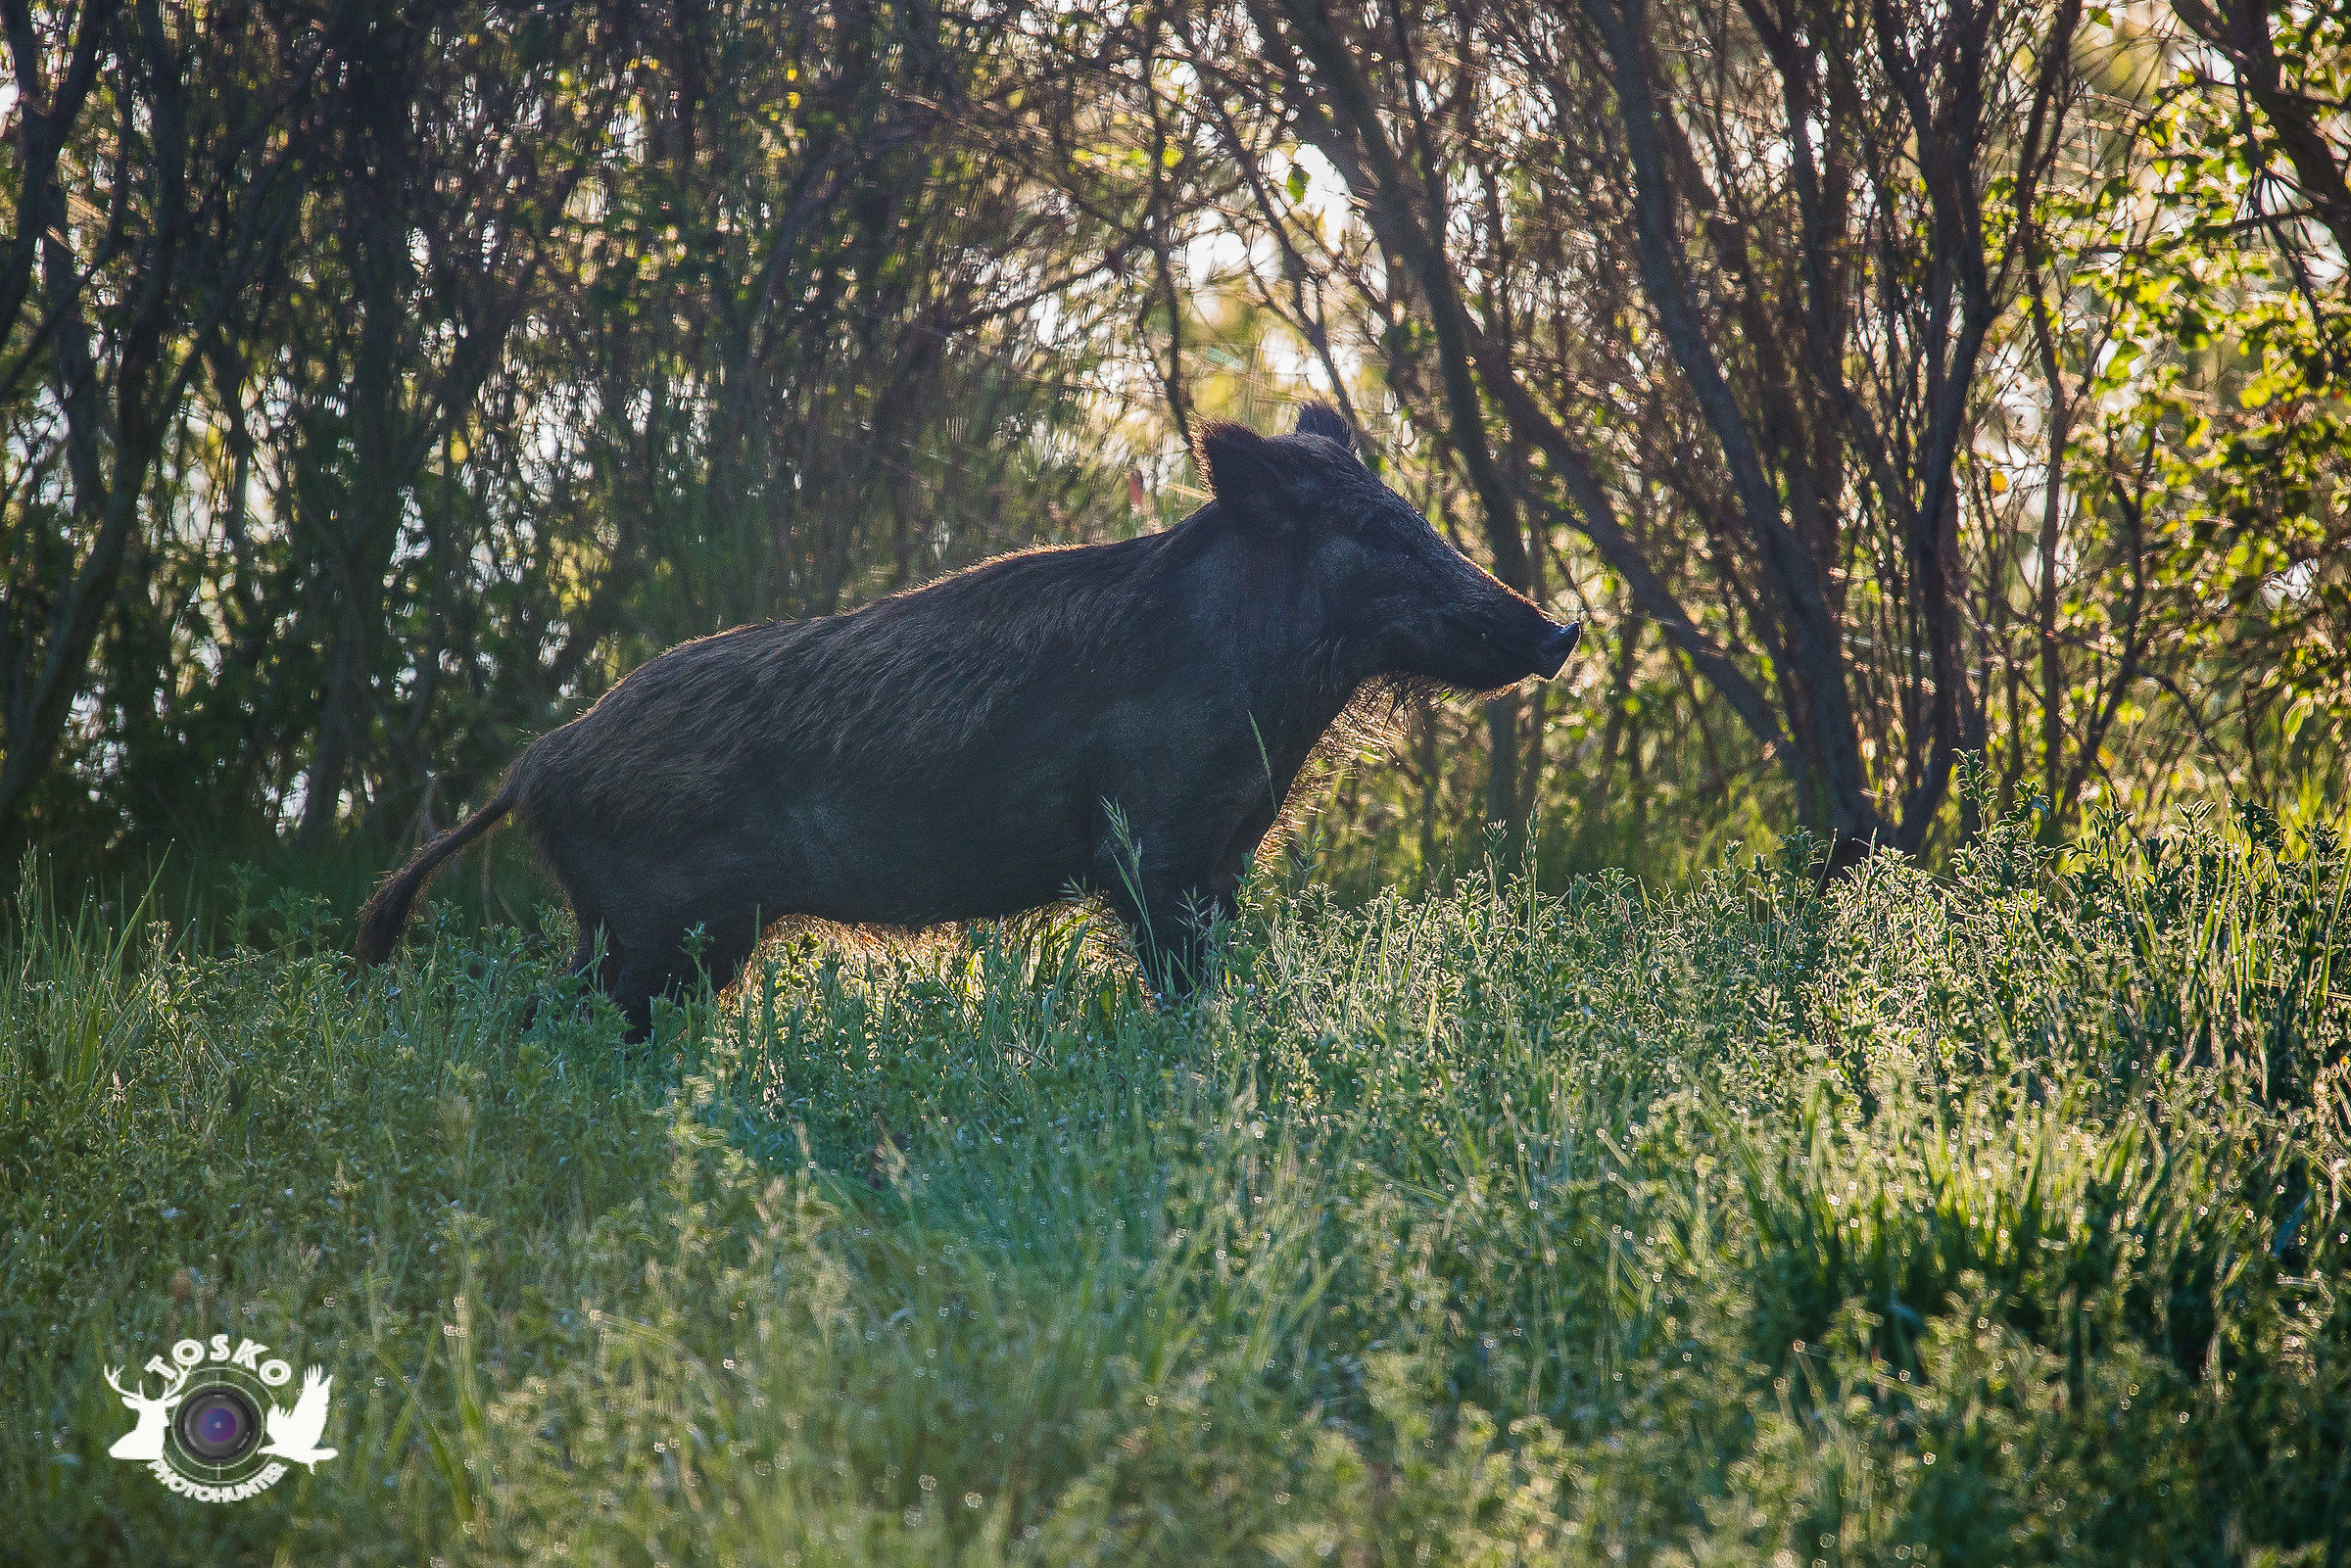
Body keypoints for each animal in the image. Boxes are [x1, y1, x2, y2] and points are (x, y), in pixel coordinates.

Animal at [356, 405, 1580, 1034]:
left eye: (1408, 510)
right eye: (1370, 531)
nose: (1561, 630)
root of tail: (533, 766)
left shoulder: (1227, 852)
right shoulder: (1154, 845)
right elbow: (1178, 982)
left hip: (654, 935)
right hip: (655, 926)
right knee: (542, 1018)